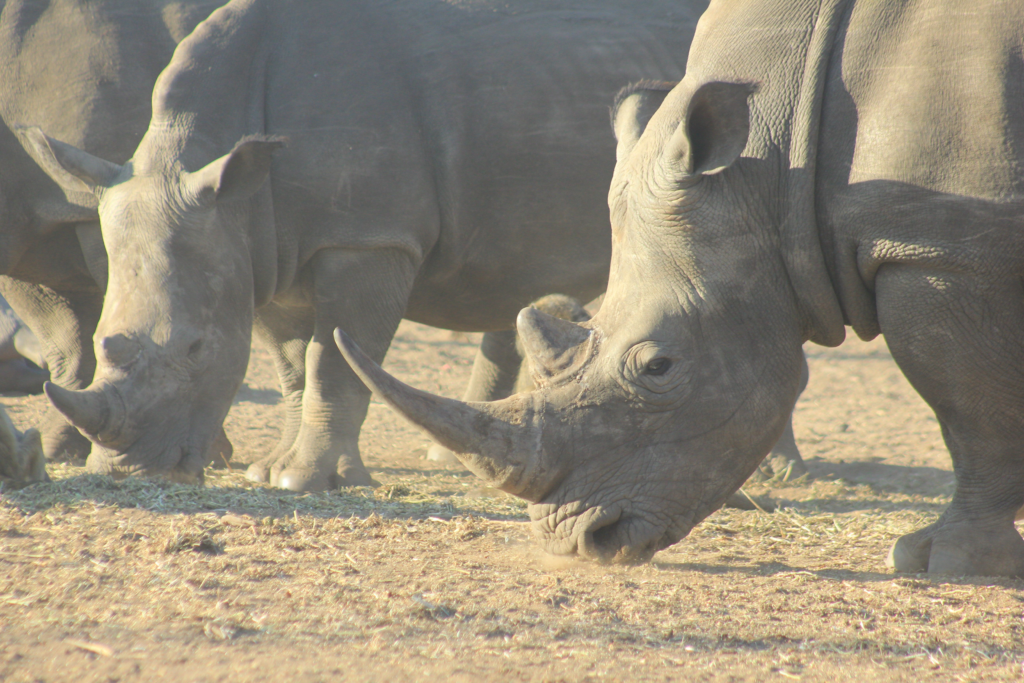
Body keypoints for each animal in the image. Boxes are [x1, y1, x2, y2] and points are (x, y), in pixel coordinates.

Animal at [337, 0, 1024, 577]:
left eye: (658, 367)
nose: (578, 541)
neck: (775, 175)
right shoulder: (948, 244)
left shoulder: (937, 248)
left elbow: (968, 411)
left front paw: (949, 561)